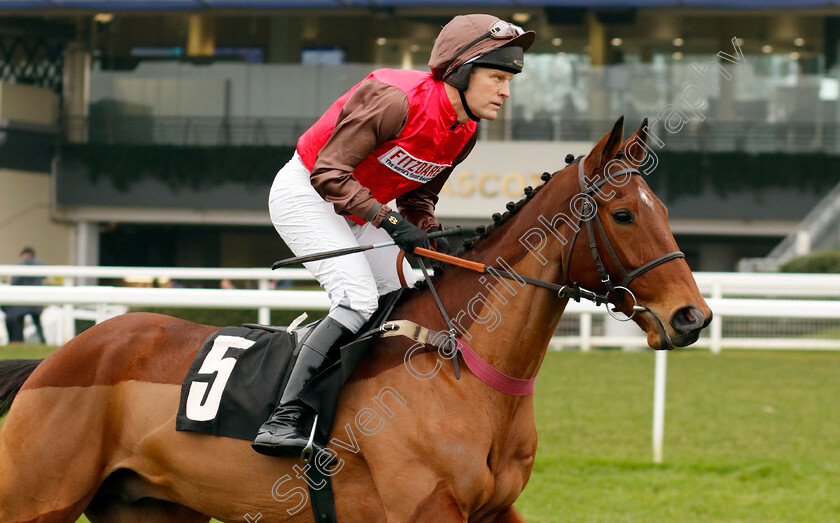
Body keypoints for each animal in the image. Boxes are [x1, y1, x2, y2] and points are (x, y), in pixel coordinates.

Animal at [0, 118, 708, 523]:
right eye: (623, 214)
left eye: (666, 210)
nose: (691, 317)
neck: (463, 362)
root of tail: (59, 358)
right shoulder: (428, 508)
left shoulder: (495, 510)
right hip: (36, 499)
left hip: (153, 508)